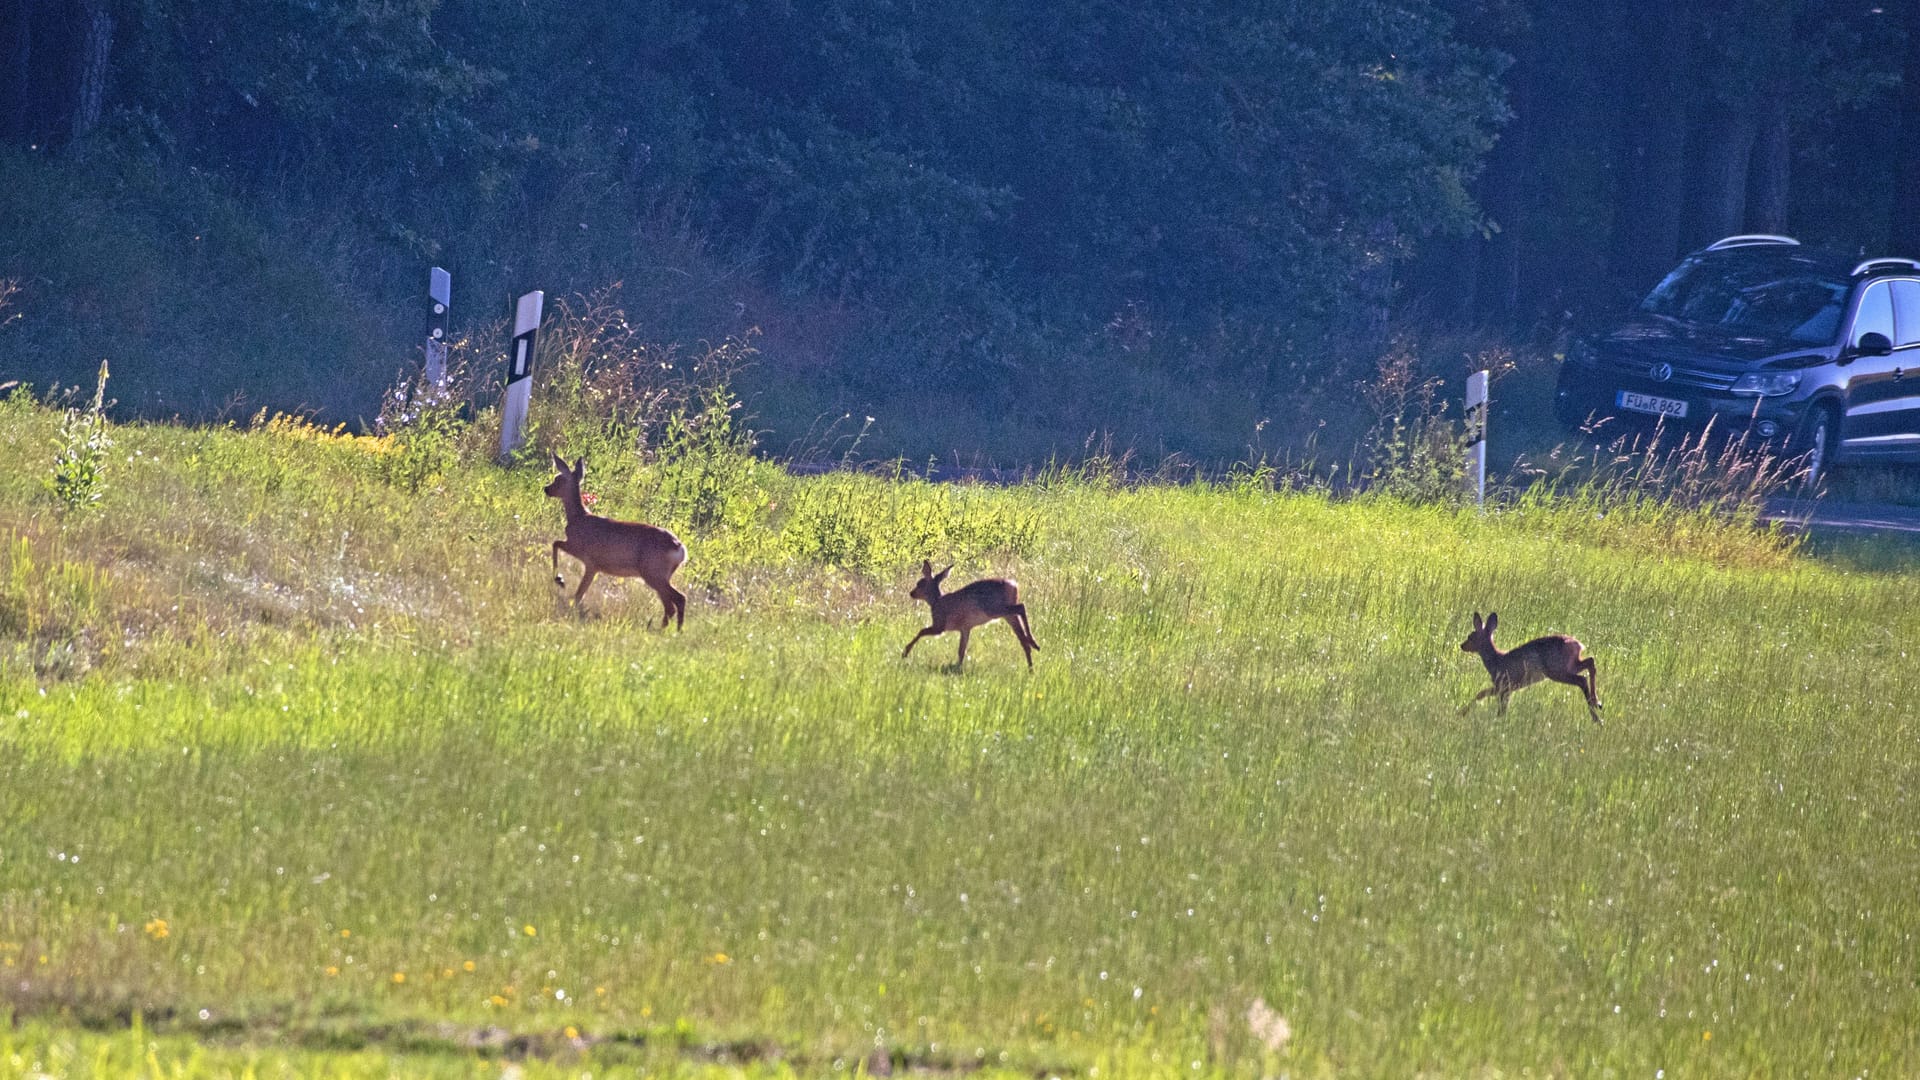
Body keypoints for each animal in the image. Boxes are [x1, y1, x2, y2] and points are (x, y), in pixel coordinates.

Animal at [545, 451, 687, 622]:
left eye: (558, 479)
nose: (546, 489)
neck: (578, 518)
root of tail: (680, 549)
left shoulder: (585, 556)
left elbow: (556, 544)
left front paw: (559, 580)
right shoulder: (592, 563)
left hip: (653, 572)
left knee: (676, 601)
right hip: (661, 574)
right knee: (675, 603)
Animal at [898, 557, 1036, 668]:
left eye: (920, 584)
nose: (911, 593)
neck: (936, 601)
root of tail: (1013, 585)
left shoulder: (940, 625)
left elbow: (921, 631)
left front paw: (905, 652)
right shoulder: (965, 628)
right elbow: (961, 650)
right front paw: (958, 667)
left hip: (993, 608)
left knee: (1021, 607)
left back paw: (1033, 643)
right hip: (1006, 615)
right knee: (1022, 638)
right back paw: (1031, 660)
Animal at [1459, 611, 1597, 718]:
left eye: (1470, 637)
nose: (1462, 645)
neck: (1496, 659)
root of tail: (1577, 644)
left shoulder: (1504, 685)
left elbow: (1487, 697)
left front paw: (1463, 712)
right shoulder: (1505, 687)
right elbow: (1483, 694)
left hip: (1556, 670)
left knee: (1582, 679)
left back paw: (1595, 713)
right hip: (1569, 665)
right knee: (1590, 662)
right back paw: (1596, 703)